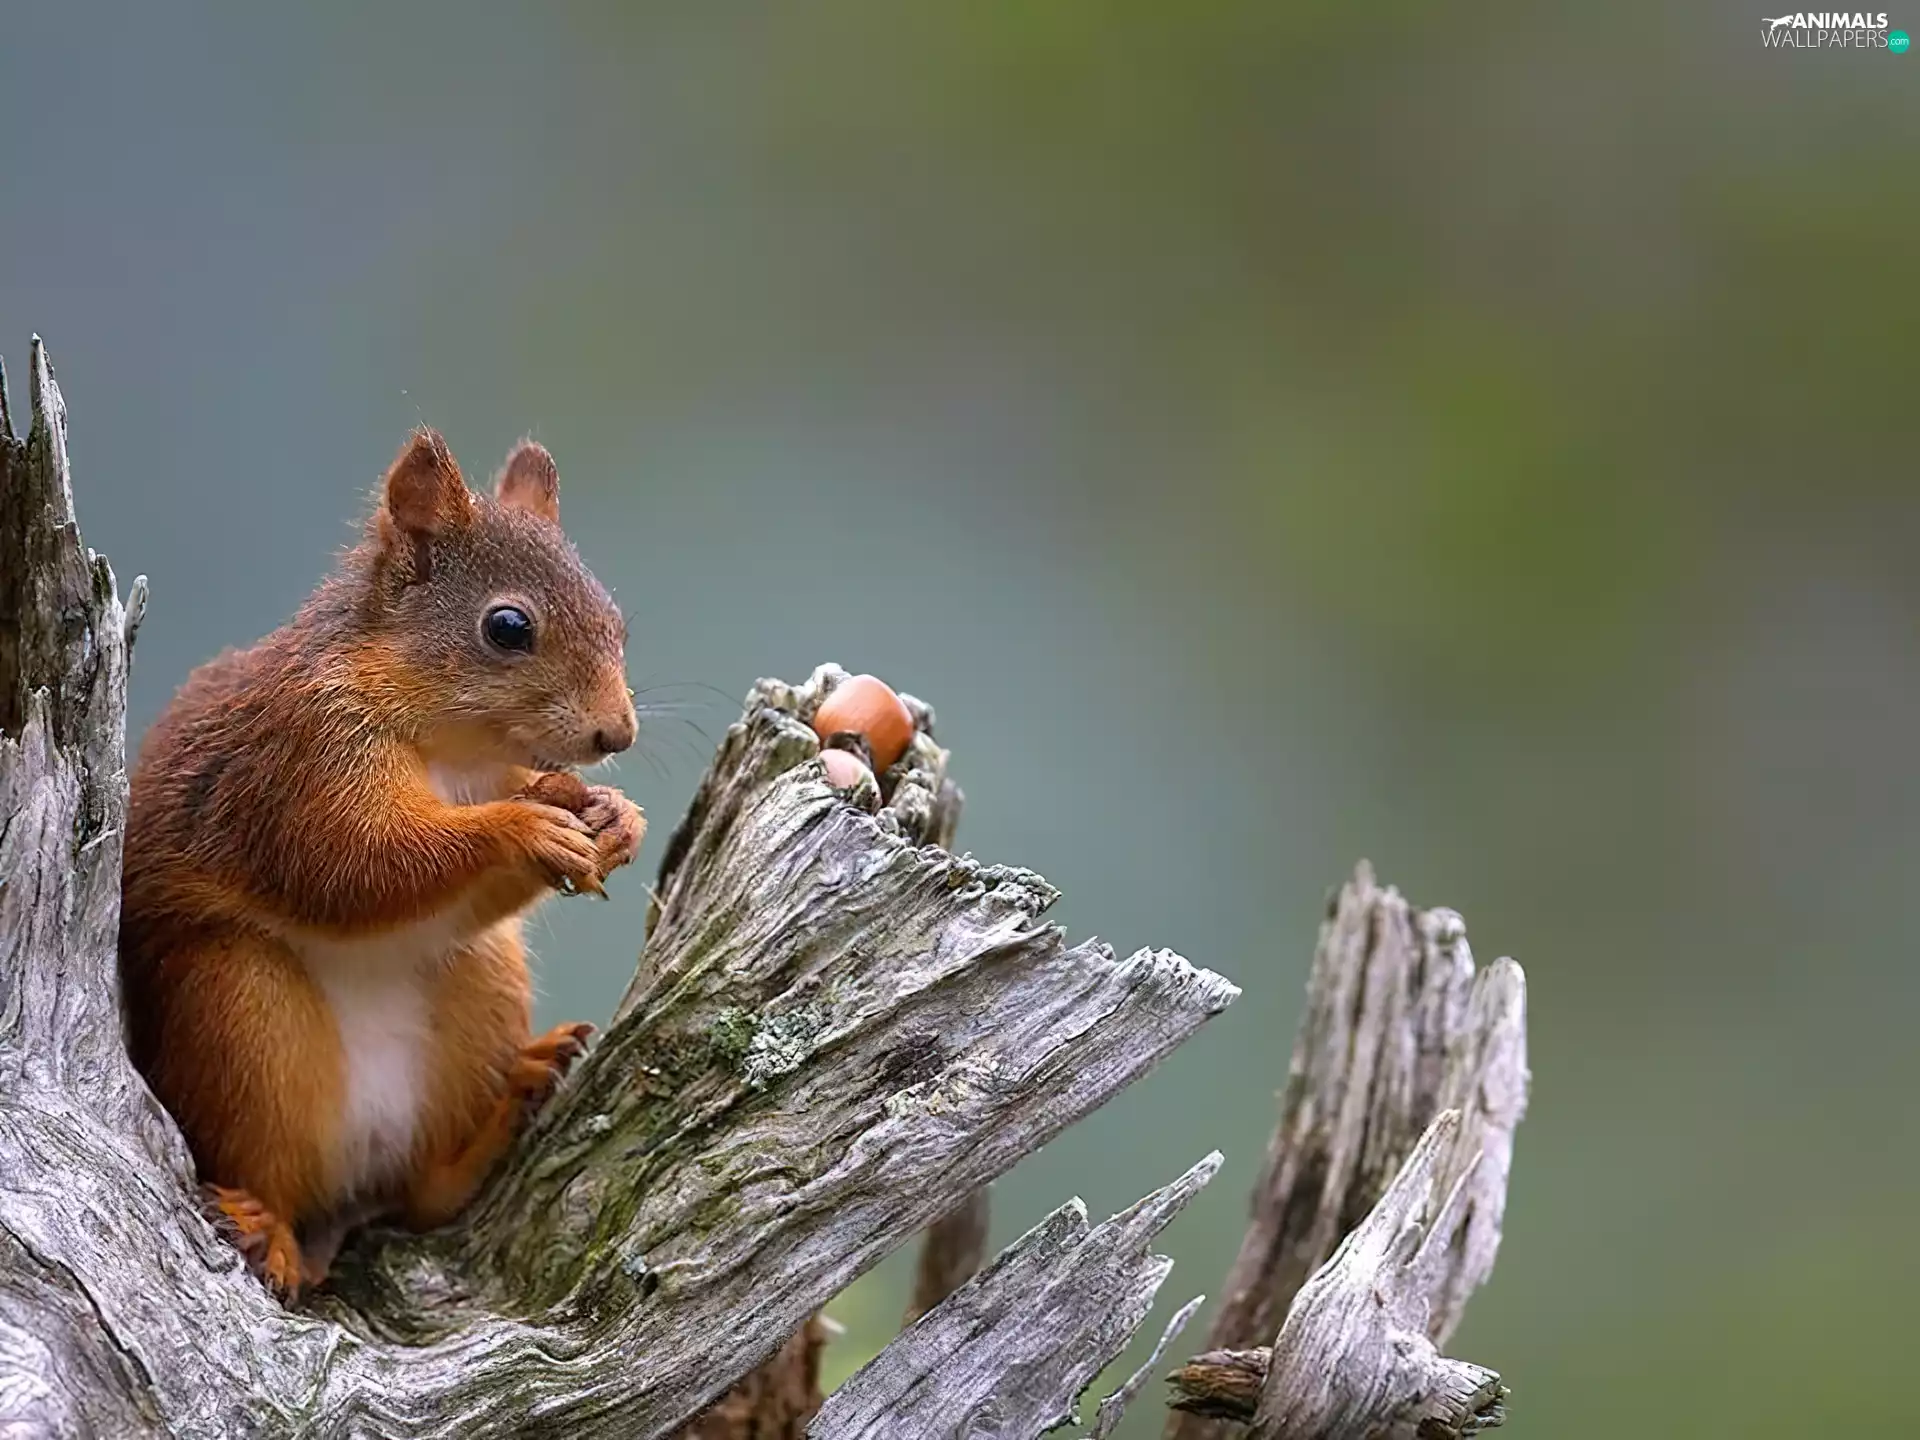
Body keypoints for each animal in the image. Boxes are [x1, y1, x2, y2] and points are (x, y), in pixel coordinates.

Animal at [118, 428, 645, 1301]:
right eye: (508, 627)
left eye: (616, 621)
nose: (618, 735)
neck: (450, 747)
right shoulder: (299, 763)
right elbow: (357, 864)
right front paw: (522, 829)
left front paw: (615, 820)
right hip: (237, 1014)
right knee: (269, 1166)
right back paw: (269, 1227)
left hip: (479, 983)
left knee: (422, 1196)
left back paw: (508, 1106)